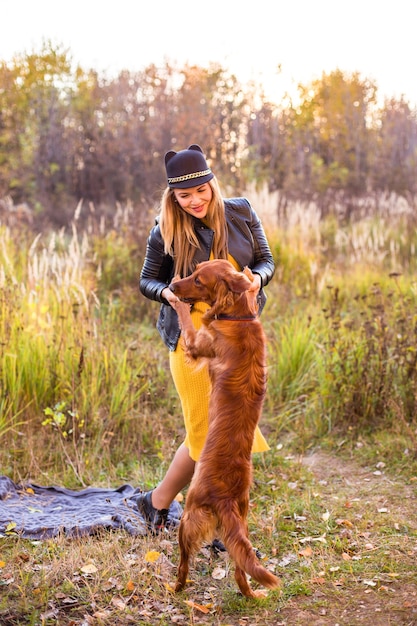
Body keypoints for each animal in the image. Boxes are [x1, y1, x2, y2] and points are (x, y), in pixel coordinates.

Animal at [168, 258, 280, 596]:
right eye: (194, 270)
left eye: (198, 280)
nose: (173, 284)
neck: (239, 317)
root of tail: (227, 500)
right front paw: (248, 276)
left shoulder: (197, 344)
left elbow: (188, 322)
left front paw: (178, 303)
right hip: (239, 526)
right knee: (241, 571)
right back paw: (251, 595)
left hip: (189, 518)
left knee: (184, 563)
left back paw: (176, 588)